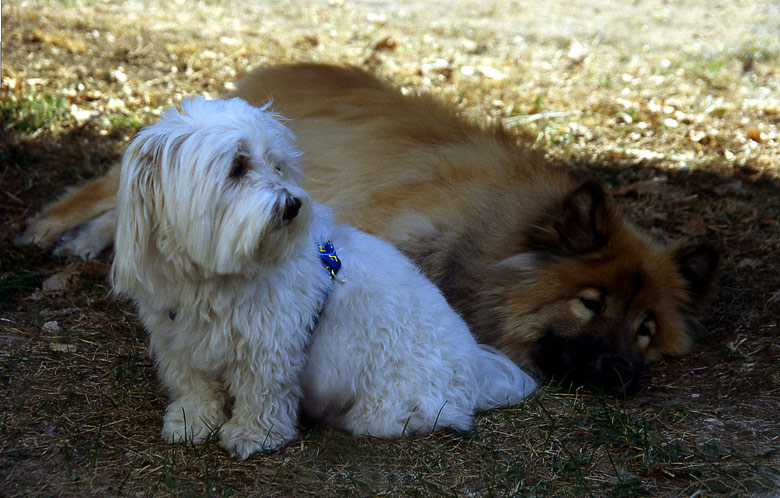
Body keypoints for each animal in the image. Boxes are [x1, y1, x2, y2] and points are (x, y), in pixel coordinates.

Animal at [16, 64, 720, 394]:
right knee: (106, 190)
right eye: (590, 303)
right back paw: (51, 229)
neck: (492, 236)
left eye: (647, 330)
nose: (623, 372)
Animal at [109, 97, 536, 460]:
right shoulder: (179, 341)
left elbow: (261, 396)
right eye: (237, 167)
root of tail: (477, 371)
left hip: (393, 403)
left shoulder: (270, 348)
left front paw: (253, 435)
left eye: (277, 165)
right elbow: (195, 386)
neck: (214, 274)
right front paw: (191, 421)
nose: (293, 205)